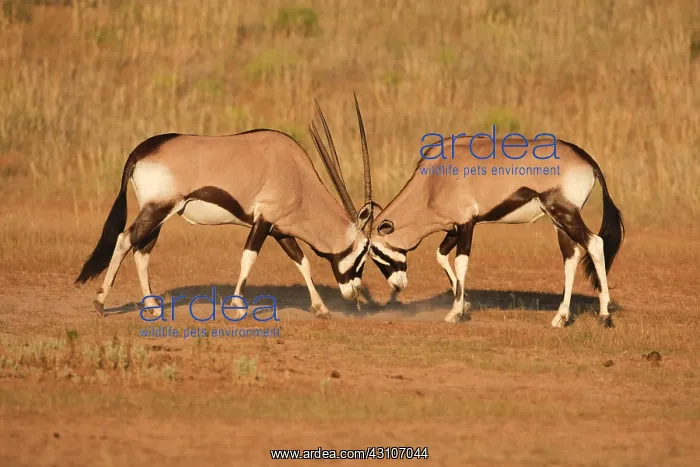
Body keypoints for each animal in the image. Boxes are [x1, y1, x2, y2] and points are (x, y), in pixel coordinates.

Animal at [74, 97, 374, 320]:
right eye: (363, 251)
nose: (356, 294)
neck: (298, 177)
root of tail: (141, 151)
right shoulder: (263, 221)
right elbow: (248, 258)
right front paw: (238, 305)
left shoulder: (279, 229)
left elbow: (302, 262)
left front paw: (320, 308)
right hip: (157, 209)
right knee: (125, 240)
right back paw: (100, 303)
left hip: (158, 214)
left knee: (141, 251)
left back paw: (151, 306)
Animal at [368, 135, 625, 327]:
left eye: (374, 251)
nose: (397, 286)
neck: (433, 180)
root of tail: (585, 159)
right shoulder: (454, 227)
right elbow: (441, 255)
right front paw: (464, 304)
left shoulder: (466, 224)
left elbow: (461, 262)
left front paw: (455, 312)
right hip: (559, 222)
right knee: (570, 257)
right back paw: (560, 317)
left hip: (566, 214)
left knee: (594, 244)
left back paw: (604, 315)